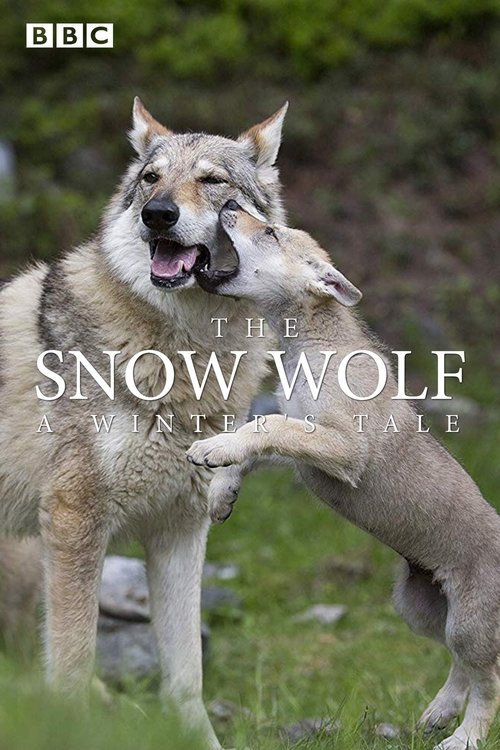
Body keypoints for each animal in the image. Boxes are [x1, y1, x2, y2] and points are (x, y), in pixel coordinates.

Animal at [0, 99, 287, 747]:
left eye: (213, 181)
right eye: (152, 179)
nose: (159, 215)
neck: (185, 354)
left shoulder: (181, 530)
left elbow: (185, 681)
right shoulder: (76, 520)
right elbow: (71, 670)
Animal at [187, 202, 500, 750]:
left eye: (270, 231)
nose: (227, 205)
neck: (307, 339)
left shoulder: (343, 448)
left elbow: (262, 427)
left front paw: (210, 451)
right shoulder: (304, 444)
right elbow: (255, 435)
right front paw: (222, 493)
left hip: (470, 621)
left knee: (489, 679)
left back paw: (463, 737)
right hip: (422, 609)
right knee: (463, 667)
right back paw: (438, 714)